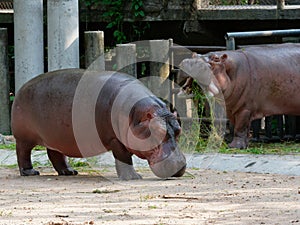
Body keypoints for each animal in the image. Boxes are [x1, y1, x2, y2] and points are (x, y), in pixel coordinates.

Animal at [11, 68, 185, 179]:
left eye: (178, 130)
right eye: (157, 131)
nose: (179, 167)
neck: (137, 116)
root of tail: (21, 88)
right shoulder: (115, 139)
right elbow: (124, 157)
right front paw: (133, 177)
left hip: (55, 136)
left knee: (55, 154)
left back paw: (69, 172)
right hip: (24, 137)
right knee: (23, 153)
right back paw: (30, 172)